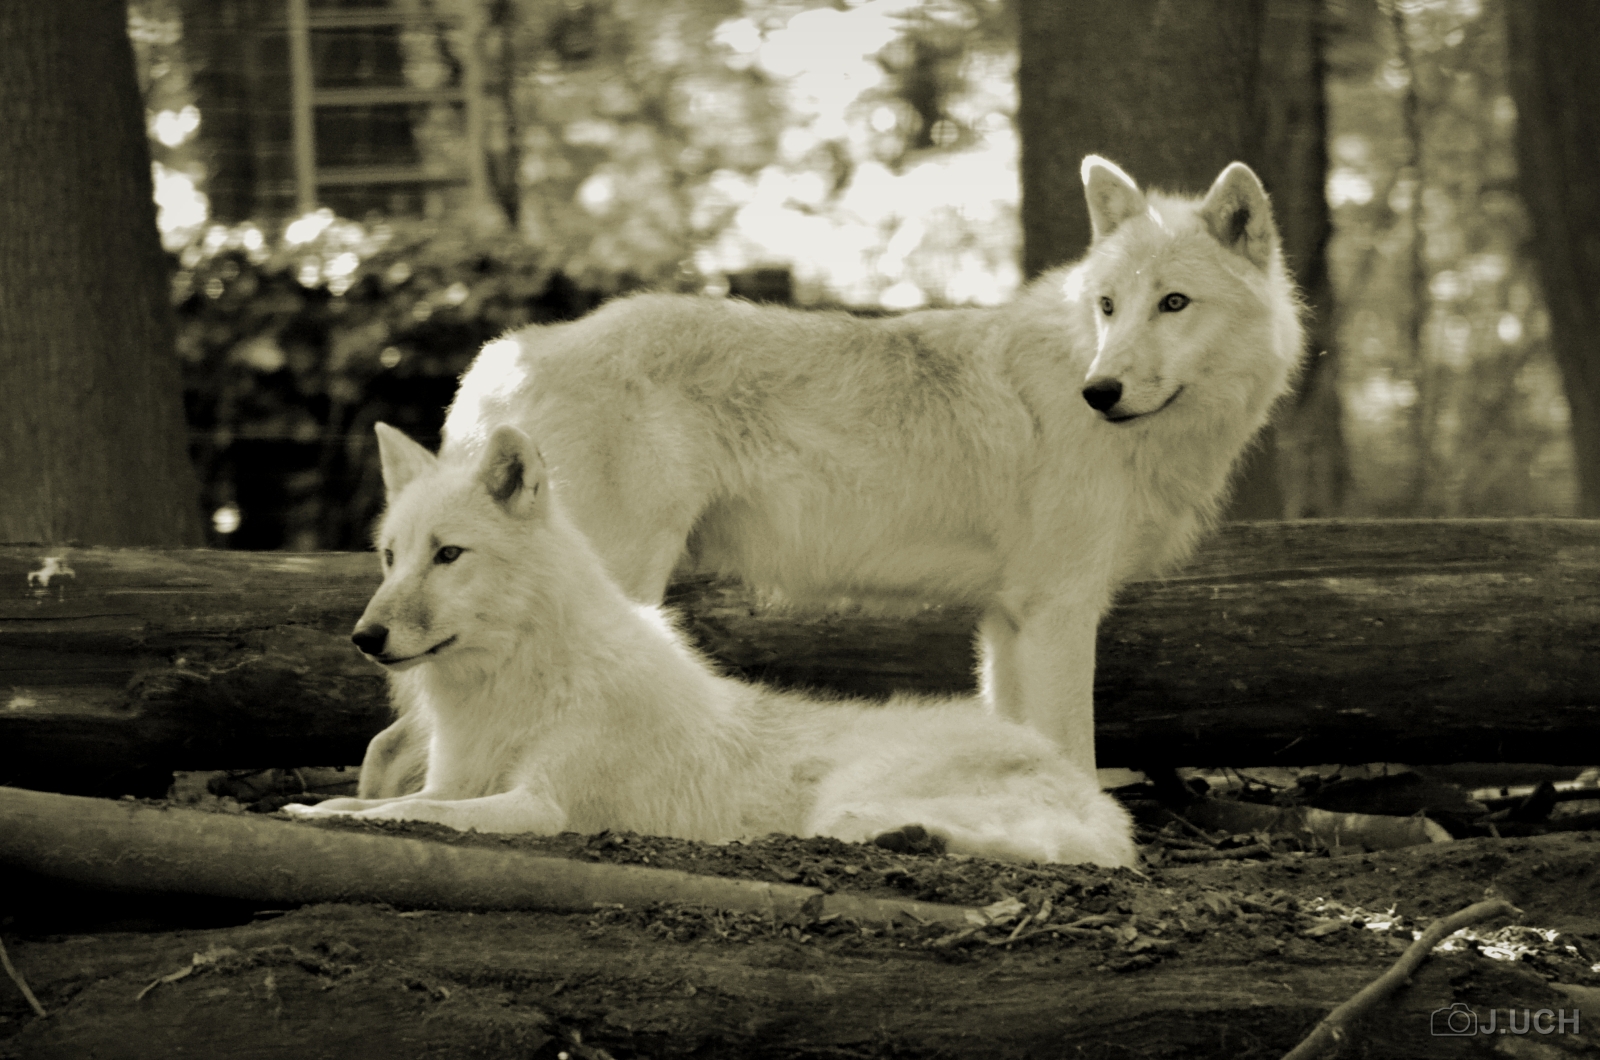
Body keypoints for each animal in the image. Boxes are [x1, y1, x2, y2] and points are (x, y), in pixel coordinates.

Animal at [288, 422, 1139, 871]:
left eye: (448, 555)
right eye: (390, 558)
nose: (365, 638)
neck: (514, 686)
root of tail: (1090, 789)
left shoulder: (543, 806)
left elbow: (396, 813)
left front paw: (308, 811)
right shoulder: (456, 781)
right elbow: (382, 801)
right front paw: (316, 804)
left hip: (850, 793)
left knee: (1051, 850)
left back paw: (897, 835)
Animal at [363, 156, 1299, 787]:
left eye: (1172, 303)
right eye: (1107, 307)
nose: (1100, 391)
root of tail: (503, 354)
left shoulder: (1007, 621)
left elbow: (1022, 739)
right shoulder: (1059, 612)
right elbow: (1073, 748)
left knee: (389, 744)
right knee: (408, 743)